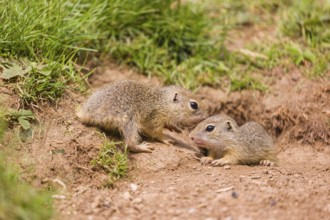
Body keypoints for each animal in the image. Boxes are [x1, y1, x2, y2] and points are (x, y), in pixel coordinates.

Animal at [76, 80, 208, 153]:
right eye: (193, 105)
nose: (206, 116)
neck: (161, 102)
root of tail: (86, 113)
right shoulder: (154, 118)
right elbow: (155, 132)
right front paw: (166, 137)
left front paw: (174, 127)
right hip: (129, 121)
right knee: (129, 143)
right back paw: (142, 147)